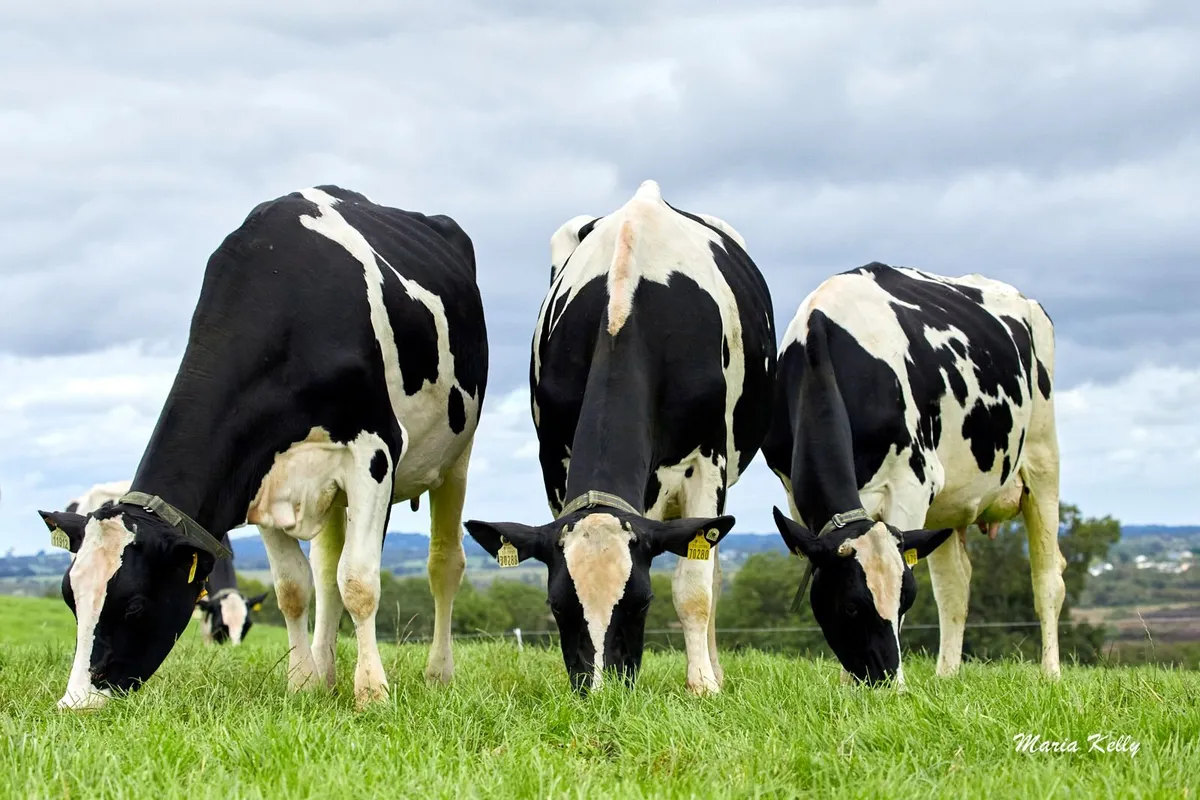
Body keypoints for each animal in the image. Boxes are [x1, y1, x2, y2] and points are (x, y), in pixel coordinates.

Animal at [36, 185, 487, 710]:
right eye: (70, 598)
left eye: (133, 606)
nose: (74, 704)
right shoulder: (260, 474)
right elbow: (294, 587)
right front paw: (304, 684)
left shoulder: (373, 453)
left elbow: (359, 581)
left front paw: (372, 693)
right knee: (326, 571)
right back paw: (327, 669)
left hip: (457, 456)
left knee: (442, 564)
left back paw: (438, 674)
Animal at [465, 180, 776, 695]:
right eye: (556, 604)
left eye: (641, 602)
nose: (600, 692)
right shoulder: (554, 460)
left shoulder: (707, 462)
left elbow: (694, 586)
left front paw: (702, 685)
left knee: (710, 571)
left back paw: (713, 668)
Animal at [762, 263, 1064, 686]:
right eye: (851, 607)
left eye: (906, 600)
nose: (888, 681)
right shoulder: (795, 495)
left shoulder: (910, 485)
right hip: (947, 505)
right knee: (956, 585)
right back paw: (946, 675)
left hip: (1041, 459)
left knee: (1047, 578)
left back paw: (1051, 674)